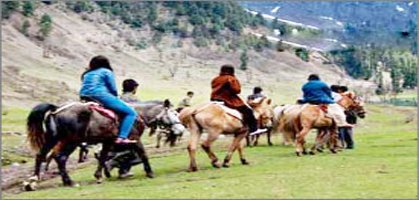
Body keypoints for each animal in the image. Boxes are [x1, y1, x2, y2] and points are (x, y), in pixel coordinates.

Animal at [23, 101, 154, 191]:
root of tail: (56, 109)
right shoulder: (135, 140)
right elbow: (143, 154)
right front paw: (150, 173)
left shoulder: (108, 142)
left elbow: (102, 157)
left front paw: (99, 176)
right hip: (71, 141)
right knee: (59, 157)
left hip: (55, 139)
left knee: (44, 156)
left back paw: (34, 182)